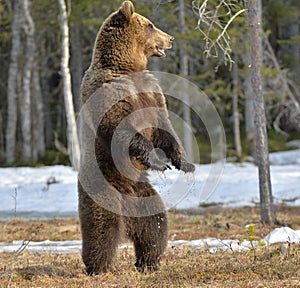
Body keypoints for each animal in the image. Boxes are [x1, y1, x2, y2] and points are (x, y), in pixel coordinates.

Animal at [77, 0, 195, 274]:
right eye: (151, 25)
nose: (170, 38)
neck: (127, 68)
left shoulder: (151, 92)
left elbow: (164, 128)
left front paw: (185, 163)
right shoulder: (109, 92)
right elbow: (122, 129)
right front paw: (159, 161)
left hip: (143, 194)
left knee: (154, 224)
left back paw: (149, 262)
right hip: (101, 188)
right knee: (102, 229)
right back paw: (97, 266)